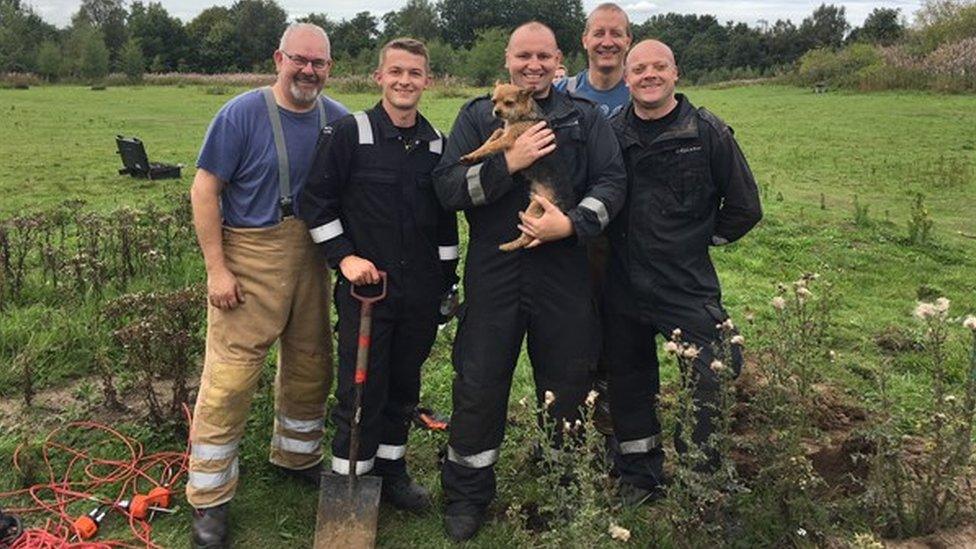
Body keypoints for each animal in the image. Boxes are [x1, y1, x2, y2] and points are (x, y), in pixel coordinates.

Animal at [462, 81, 560, 250]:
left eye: (509, 103)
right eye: (494, 101)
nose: (496, 112)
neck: (521, 116)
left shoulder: (508, 138)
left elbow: (491, 146)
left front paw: (476, 154)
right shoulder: (504, 131)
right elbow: (494, 134)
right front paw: (472, 154)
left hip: (535, 210)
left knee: (527, 238)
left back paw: (509, 246)